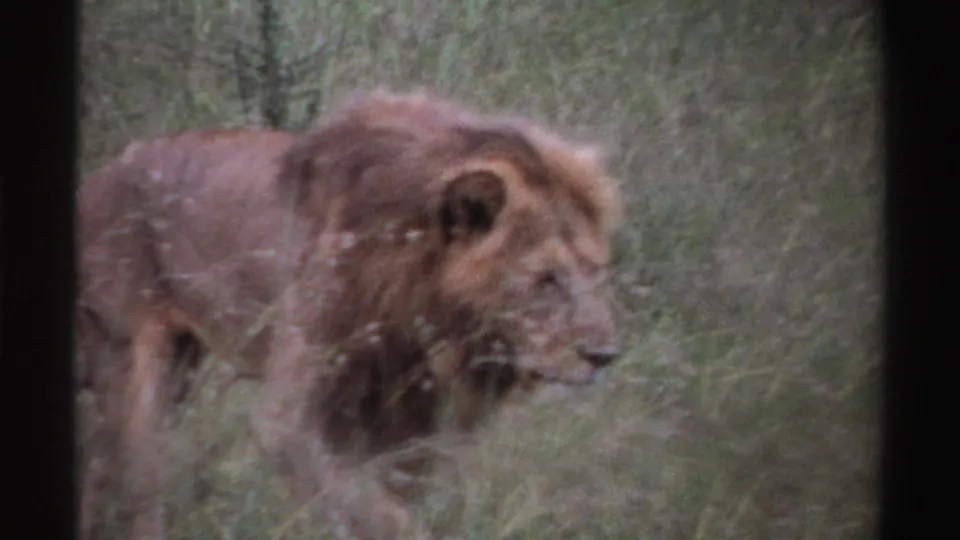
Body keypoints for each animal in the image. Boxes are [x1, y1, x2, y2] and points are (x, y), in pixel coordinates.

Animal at [76, 89, 622, 540]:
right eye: (547, 279)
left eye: (595, 272)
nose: (605, 356)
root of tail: (97, 176)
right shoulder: (292, 416)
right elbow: (370, 509)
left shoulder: (409, 420)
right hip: (131, 365)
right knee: (137, 489)